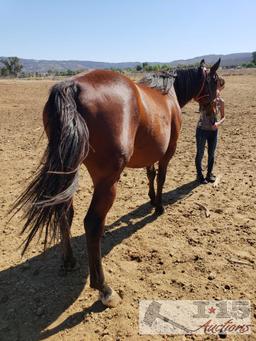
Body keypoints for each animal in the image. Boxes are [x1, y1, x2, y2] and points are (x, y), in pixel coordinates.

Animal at [11, 57, 221, 306]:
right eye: (216, 81)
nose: (214, 113)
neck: (167, 93)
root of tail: (73, 86)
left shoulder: (150, 154)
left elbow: (150, 175)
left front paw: (152, 200)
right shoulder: (167, 152)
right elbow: (161, 178)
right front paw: (159, 206)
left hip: (67, 172)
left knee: (64, 212)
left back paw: (69, 260)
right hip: (107, 182)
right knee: (92, 223)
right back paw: (103, 288)